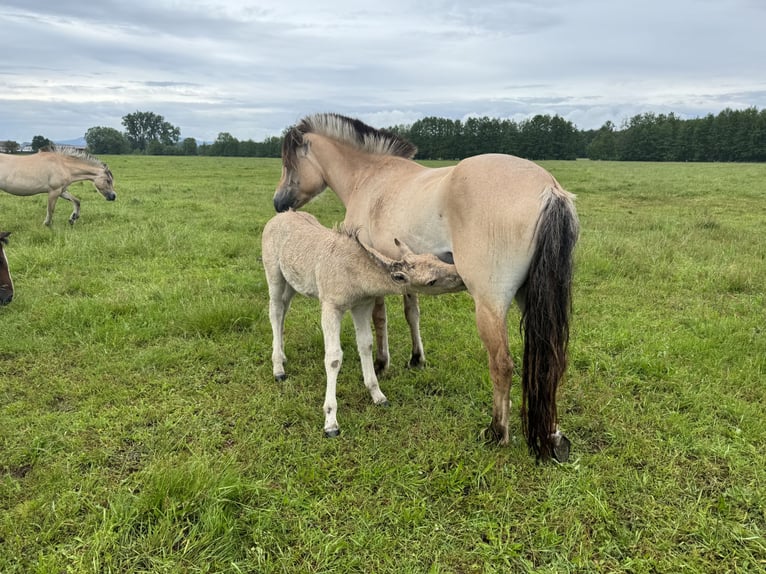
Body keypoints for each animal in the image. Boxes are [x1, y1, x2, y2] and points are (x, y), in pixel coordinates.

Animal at [272, 113, 580, 464]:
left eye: (289, 161)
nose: (279, 203)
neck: (371, 178)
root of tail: (549, 189)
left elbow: (379, 318)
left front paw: (382, 363)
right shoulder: (405, 270)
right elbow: (411, 312)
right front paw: (416, 358)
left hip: (490, 304)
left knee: (502, 364)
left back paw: (497, 432)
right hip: (534, 301)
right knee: (550, 361)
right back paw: (554, 438)